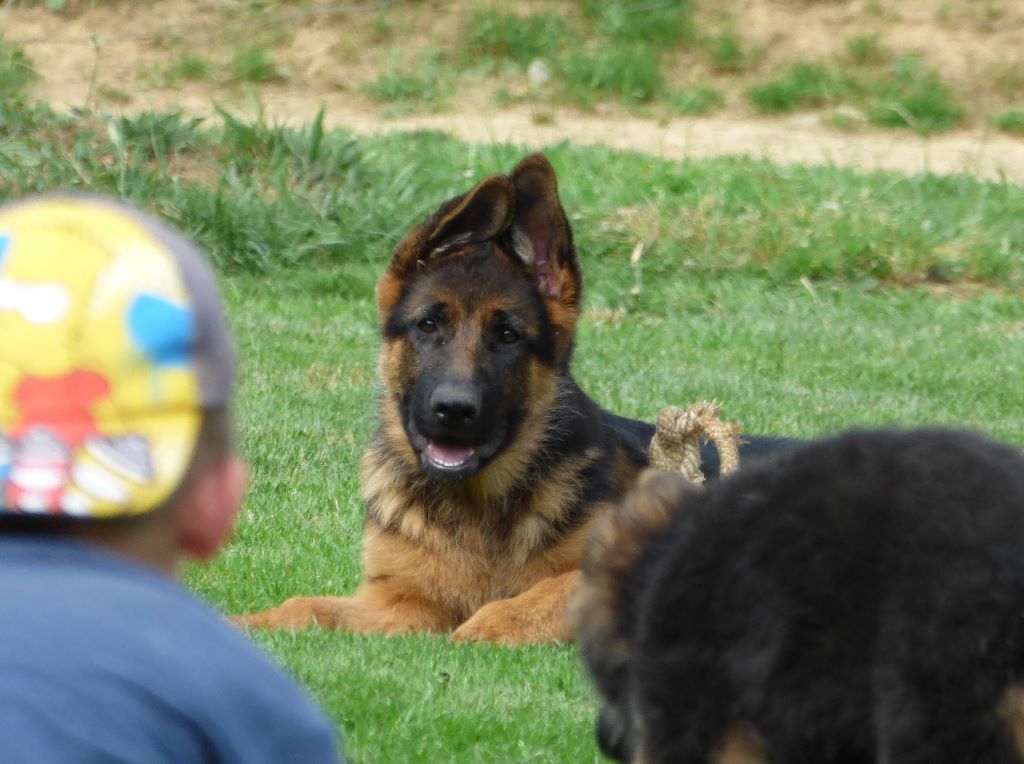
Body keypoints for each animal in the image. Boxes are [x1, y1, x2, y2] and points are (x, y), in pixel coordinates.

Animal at [235, 154, 782, 643]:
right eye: (428, 325)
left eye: (508, 336)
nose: (454, 411)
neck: (475, 510)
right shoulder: (399, 603)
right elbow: (307, 607)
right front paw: (245, 623)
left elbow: (553, 590)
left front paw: (490, 624)